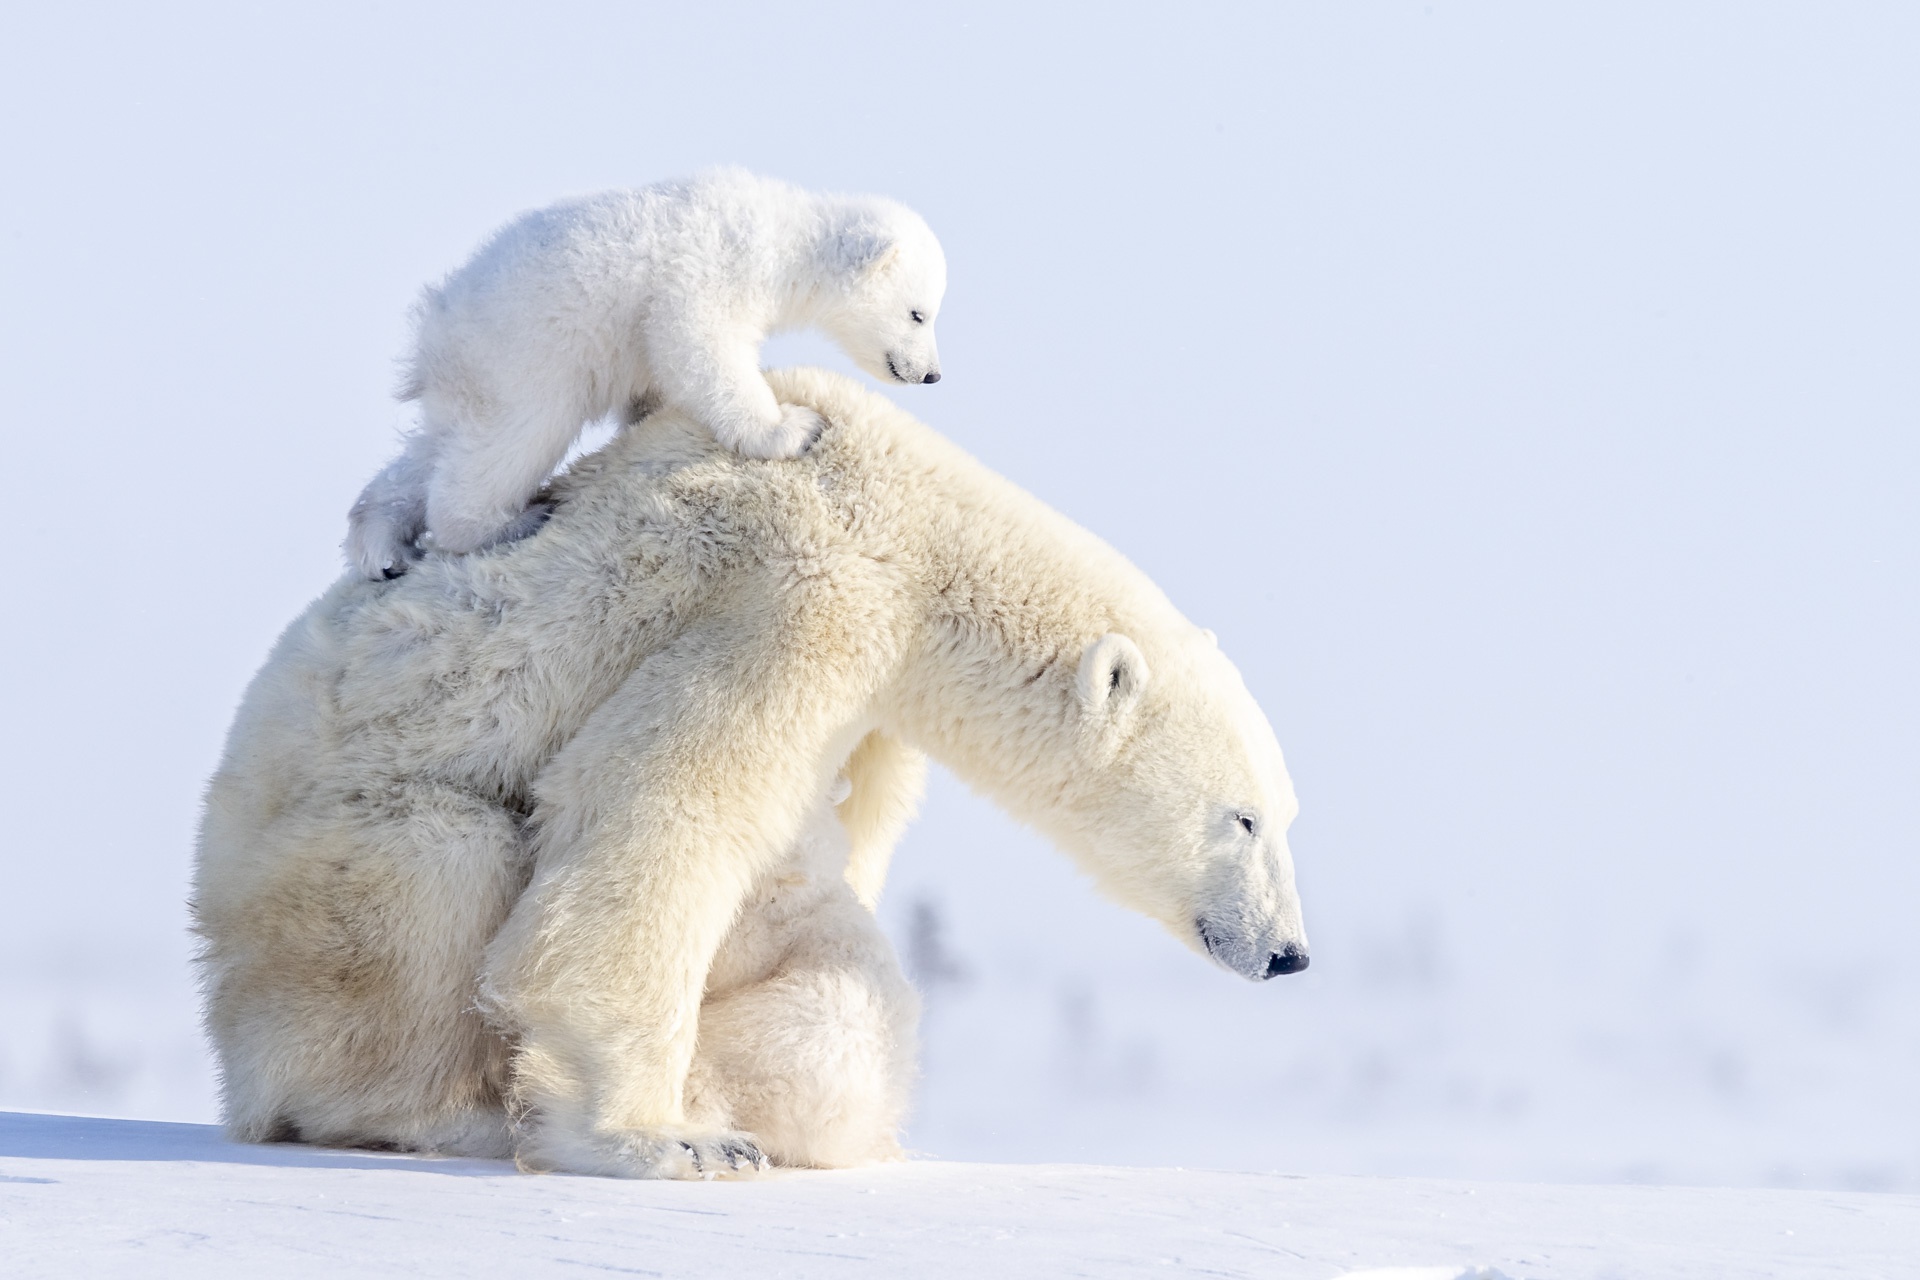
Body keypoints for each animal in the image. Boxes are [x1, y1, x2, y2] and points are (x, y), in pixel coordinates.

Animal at [191, 364, 1305, 1174]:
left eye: (1288, 814)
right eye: (1245, 817)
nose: (1290, 953)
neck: (916, 523)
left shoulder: (874, 708)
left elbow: (837, 874)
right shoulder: (805, 593)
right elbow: (659, 811)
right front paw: (662, 1137)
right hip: (317, 872)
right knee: (437, 868)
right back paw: (443, 1112)